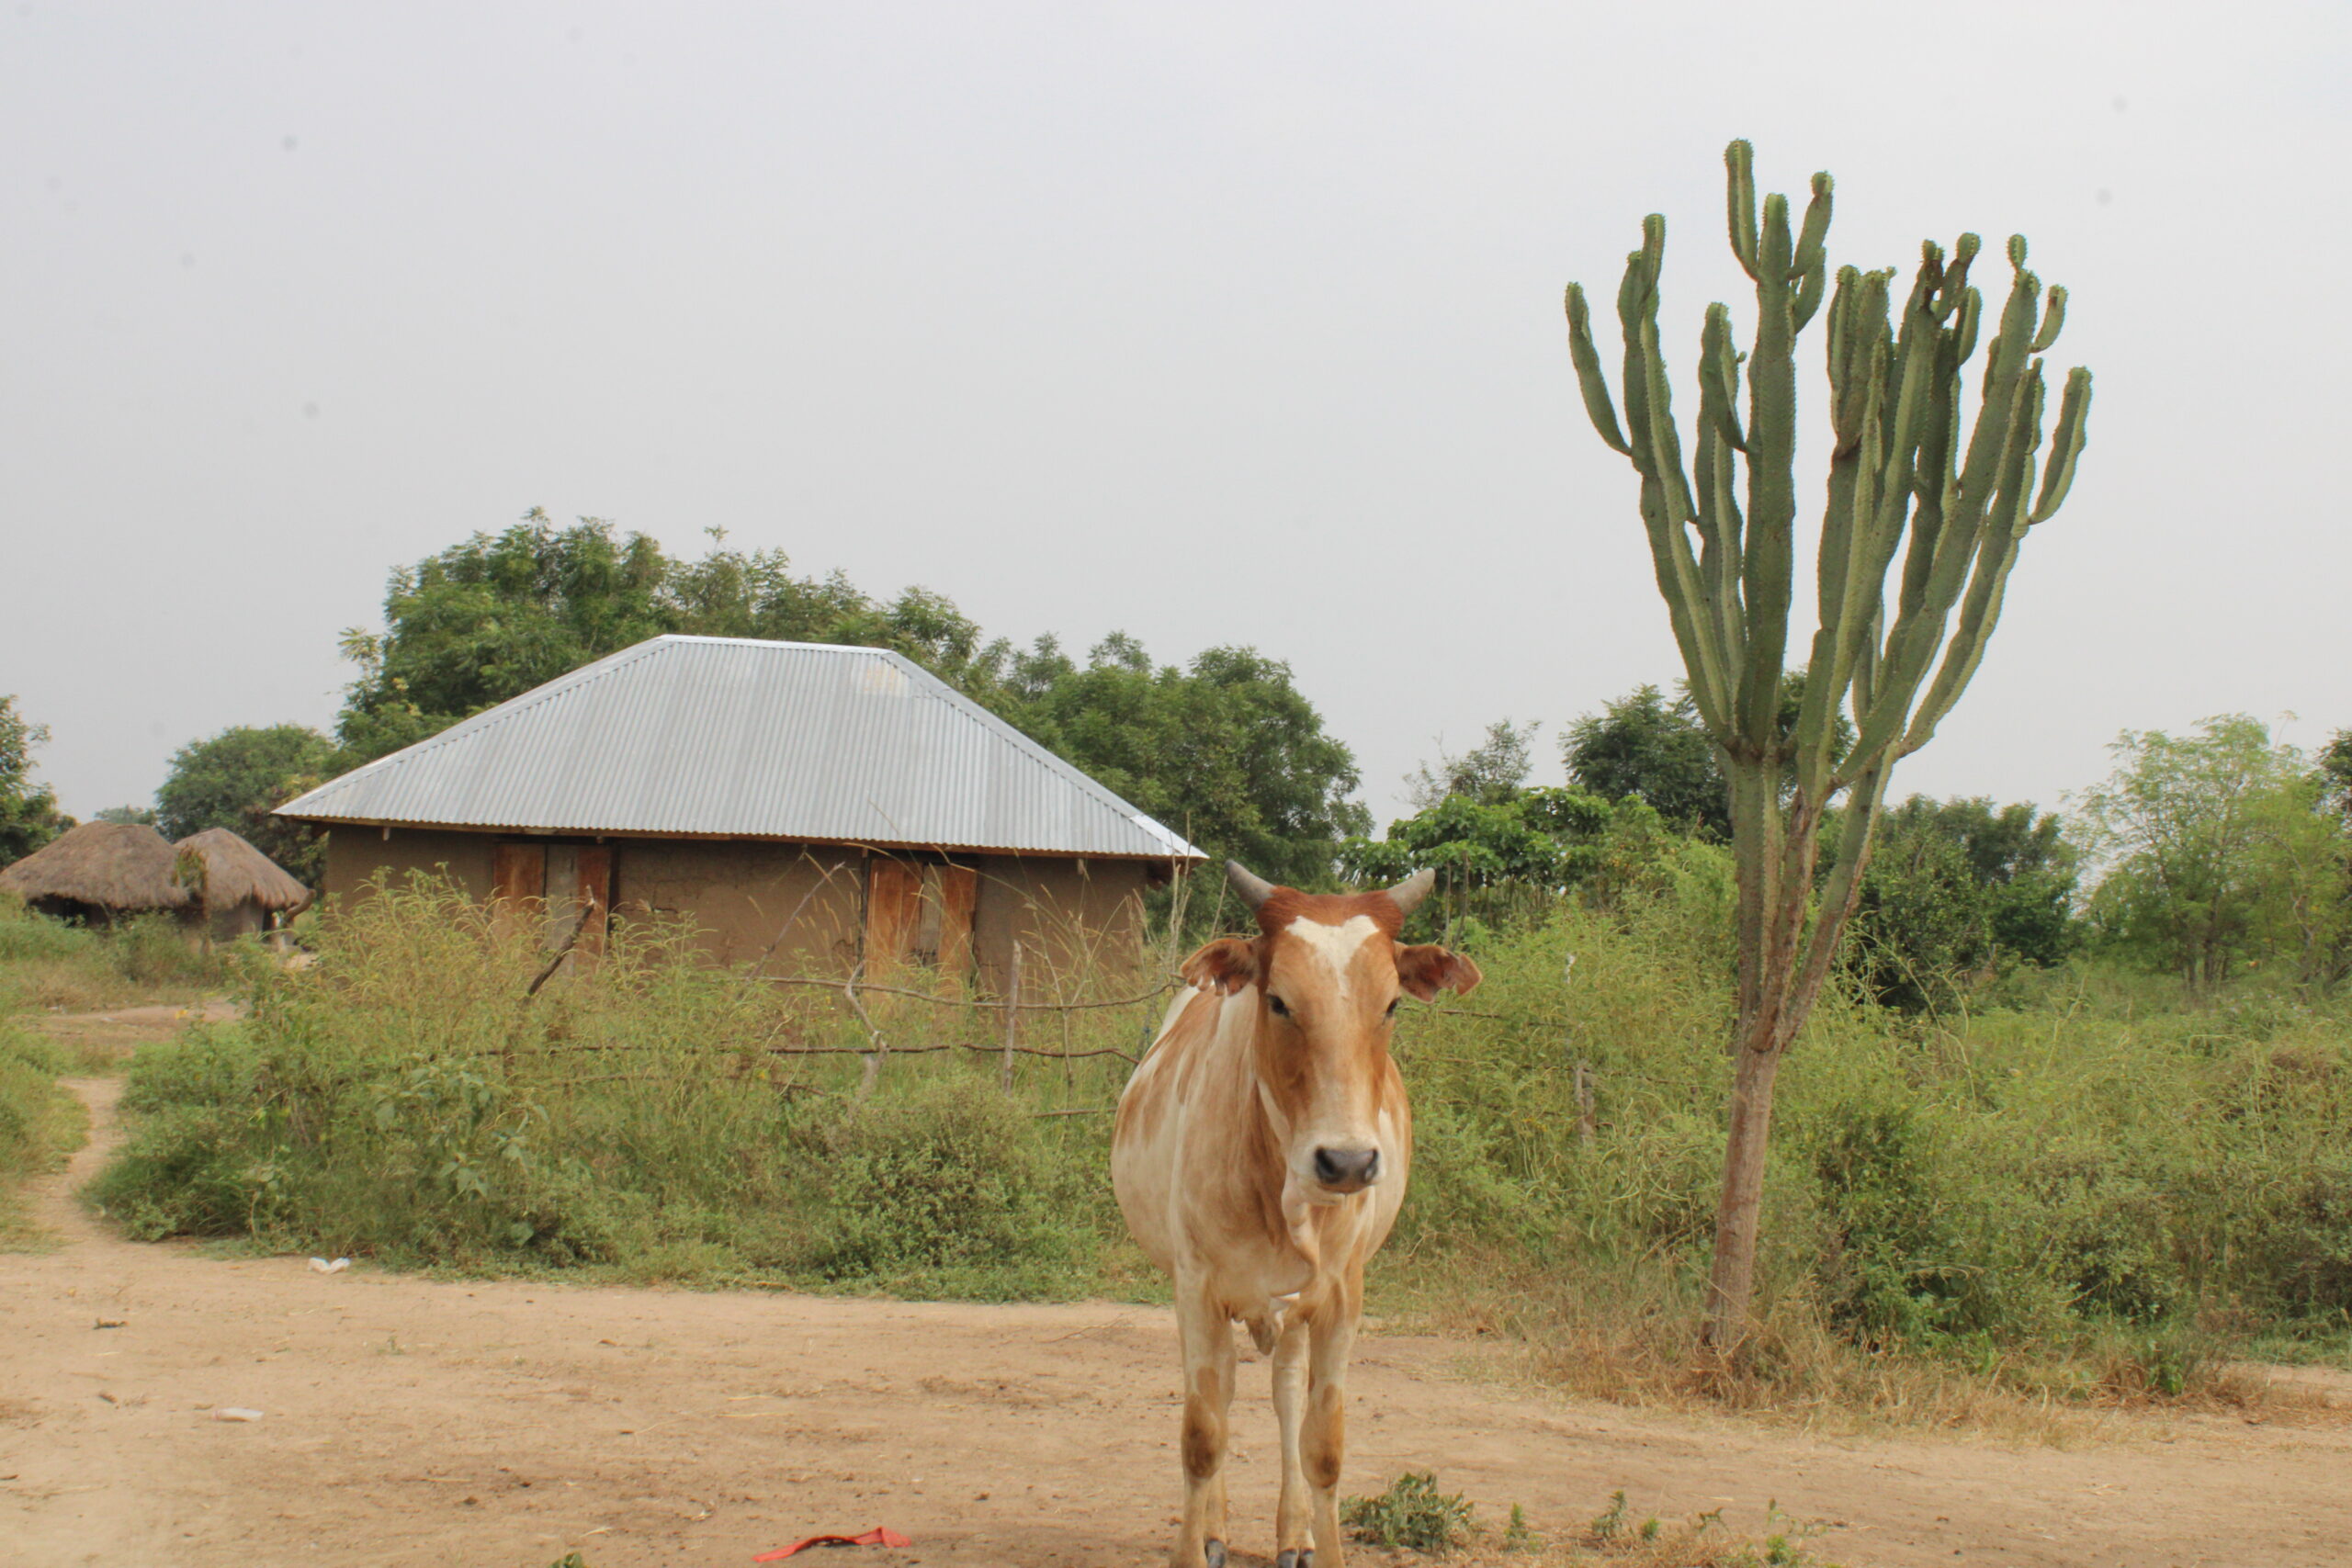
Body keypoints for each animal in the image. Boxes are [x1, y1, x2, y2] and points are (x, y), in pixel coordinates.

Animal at [1110, 864, 1476, 1568]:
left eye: (1391, 1005)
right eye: (1278, 1001)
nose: (1347, 1161)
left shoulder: (1341, 1297)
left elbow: (1323, 1447)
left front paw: (1317, 1541)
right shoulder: (1196, 1289)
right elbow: (1203, 1436)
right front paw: (1194, 1544)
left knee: (1284, 1395)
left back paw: (1293, 1532)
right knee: (1223, 1392)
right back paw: (1216, 1529)